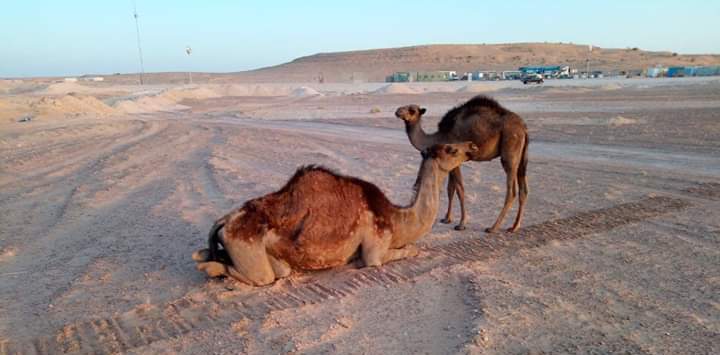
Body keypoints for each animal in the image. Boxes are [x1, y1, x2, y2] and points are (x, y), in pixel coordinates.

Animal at [191, 143, 478, 286]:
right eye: (451, 149)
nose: (472, 146)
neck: (396, 218)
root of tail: (226, 220)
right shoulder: (375, 247)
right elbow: (409, 251)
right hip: (249, 247)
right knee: (258, 275)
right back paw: (213, 271)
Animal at [394, 94, 528, 234]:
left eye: (412, 110)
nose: (398, 111)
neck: (437, 138)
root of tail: (523, 127)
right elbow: (450, 189)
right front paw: (447, 218)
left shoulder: (455, 159)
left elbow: (459, 189)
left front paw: (461, 224)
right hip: (522, 156)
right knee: (523, 189)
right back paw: (514, 227)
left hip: (510, 146)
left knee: (511, 190)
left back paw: (493, 227)